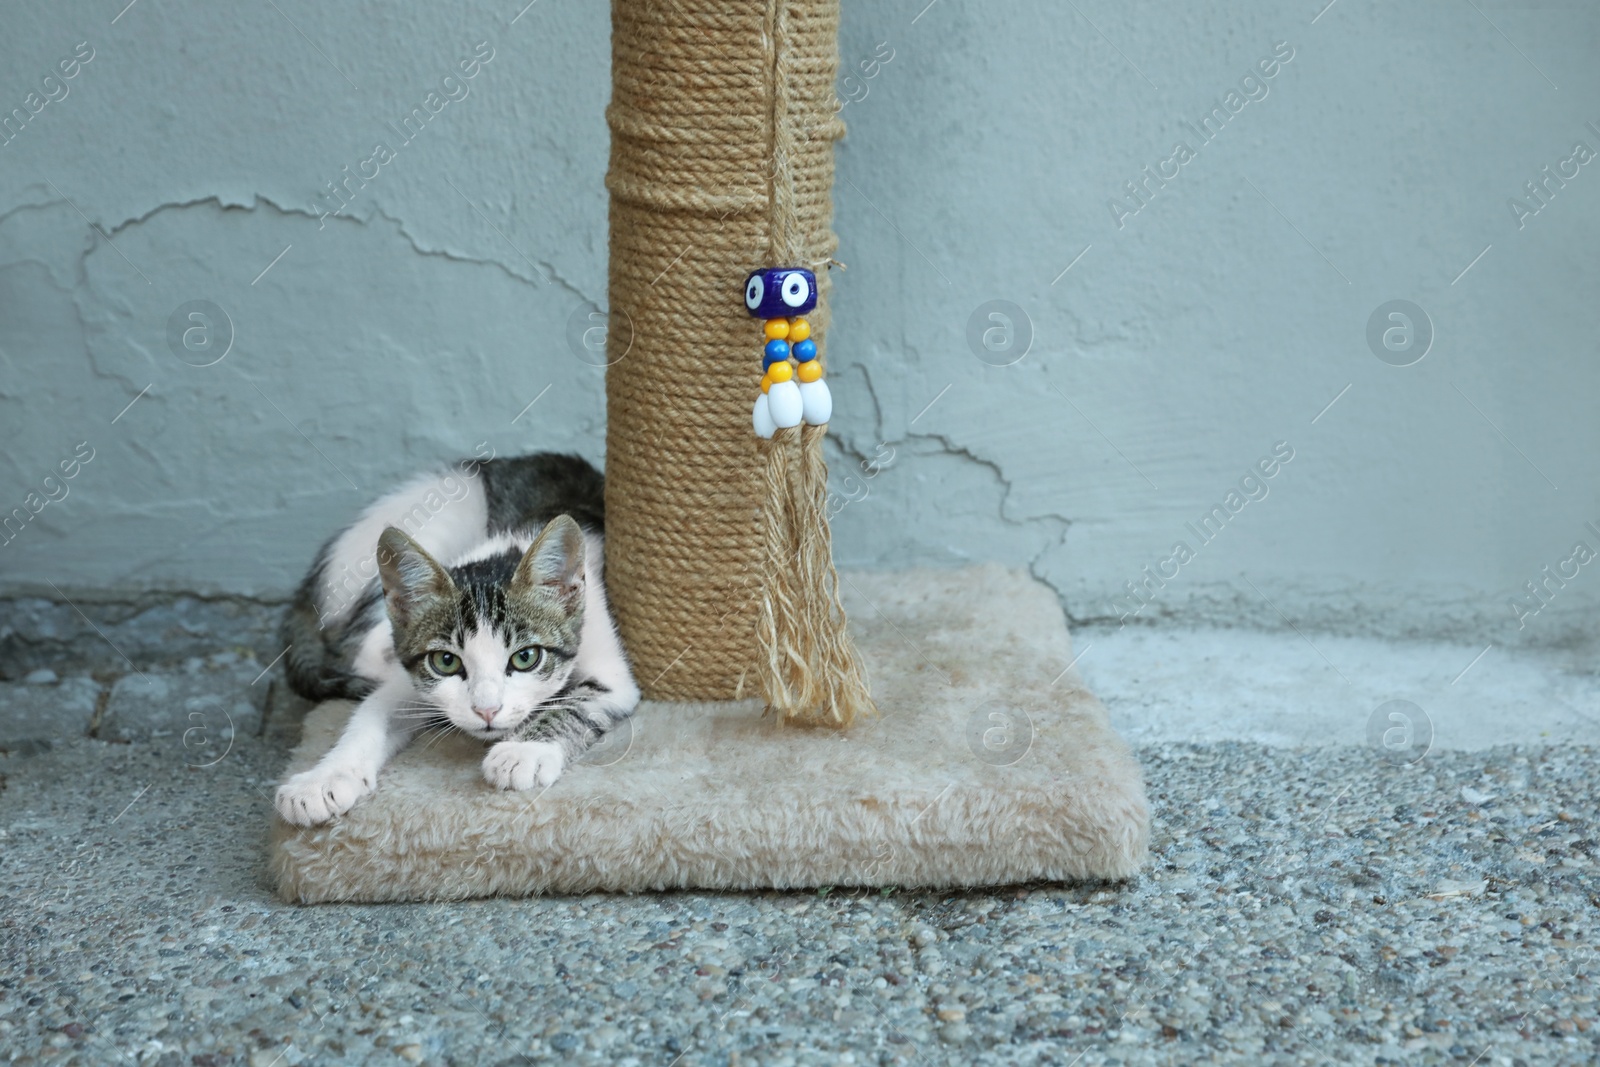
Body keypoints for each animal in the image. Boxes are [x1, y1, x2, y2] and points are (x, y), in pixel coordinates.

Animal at [273, 451, 636, 825]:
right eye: (446, 661)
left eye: (526, 657)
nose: (486, 710)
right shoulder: (418, 673)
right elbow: (371, 713)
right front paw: (323, 778)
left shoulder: (611, 669)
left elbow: (573, 702)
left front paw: (523, 751)